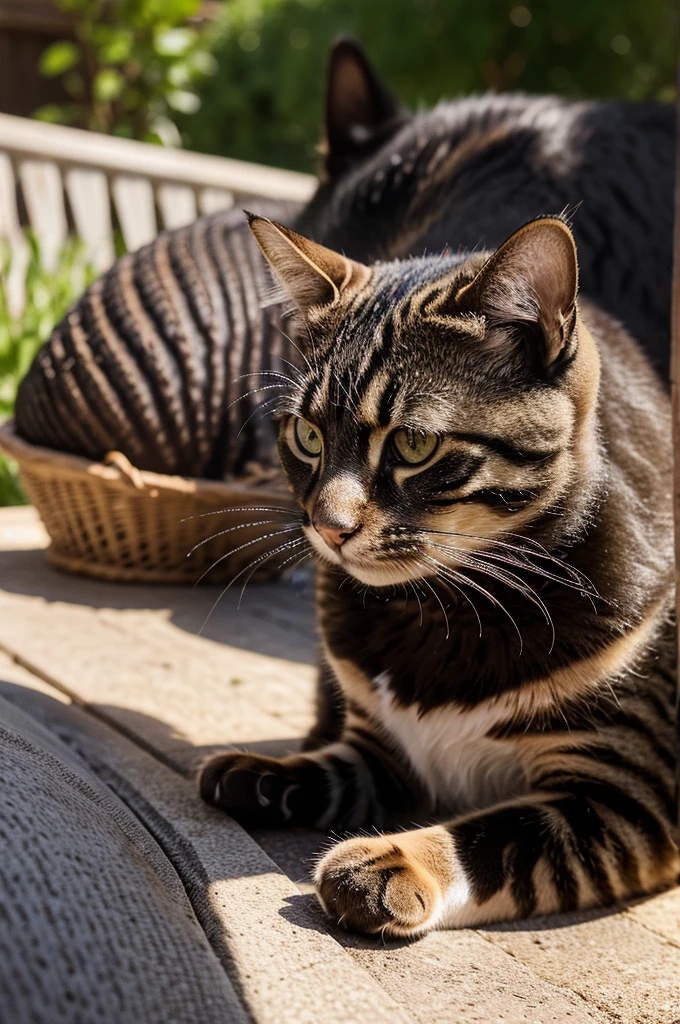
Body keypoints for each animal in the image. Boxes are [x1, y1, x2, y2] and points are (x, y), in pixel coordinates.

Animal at [199, 39, 675, 937]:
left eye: (415, 444)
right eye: (307, 435)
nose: (327, 526)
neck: (434, 613)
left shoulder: (629, 787)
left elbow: (499, 834)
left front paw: (391, 860)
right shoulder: (380, 745)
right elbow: (339, 762)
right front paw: (269, 770)